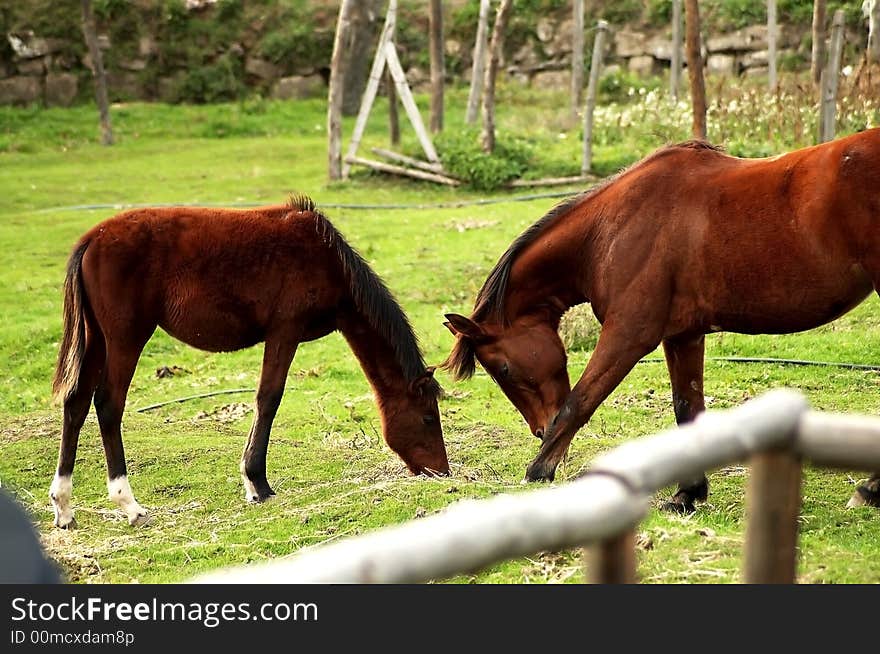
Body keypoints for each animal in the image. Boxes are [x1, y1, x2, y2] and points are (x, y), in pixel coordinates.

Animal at [49, 193, 446, 528]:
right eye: (428, 417)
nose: (441, 471)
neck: (326, 259)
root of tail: (92, 239)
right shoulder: (284, 332)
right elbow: (268, 399)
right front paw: (257, 482)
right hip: (125, 340)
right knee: (108, 404)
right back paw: (128, 503)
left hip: (97, 340)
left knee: (76, 404)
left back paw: (64, 506)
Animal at [444, 131, 880, 516]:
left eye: (502, 368)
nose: (539, 428)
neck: (610, 231)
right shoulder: (683, 336)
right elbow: (687, 410)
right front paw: (688, 493)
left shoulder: (628, 335)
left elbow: (580, 402)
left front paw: (539, 470)